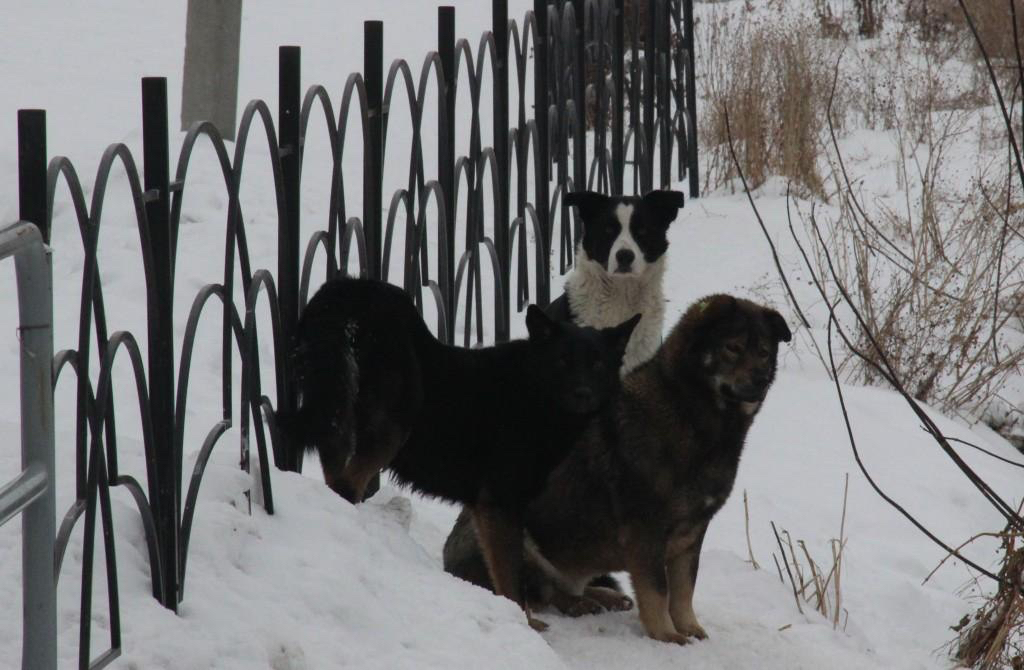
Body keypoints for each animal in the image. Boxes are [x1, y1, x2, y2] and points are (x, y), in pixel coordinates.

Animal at [286, 278, 638, 631]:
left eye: (597, 364)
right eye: (562, 361)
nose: (584, 394)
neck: (534, 392)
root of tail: (351, 292)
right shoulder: (499, 504)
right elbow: (512, 580)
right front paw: (524, 626)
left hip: (335, 412)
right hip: (392, 425)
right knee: (346, 484)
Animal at [442, 297, 790, 643]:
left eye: (764, 352)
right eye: (733, 347)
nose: (761, 378)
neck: (692, 416)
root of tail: (448, 559)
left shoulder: (692, 532)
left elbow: (684, 587)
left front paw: (688, 626)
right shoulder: (646, 530)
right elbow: (658, 590)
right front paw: (666, 634)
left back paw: (600, 596)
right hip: (514, 536)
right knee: (539, 590)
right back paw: (576, 604)